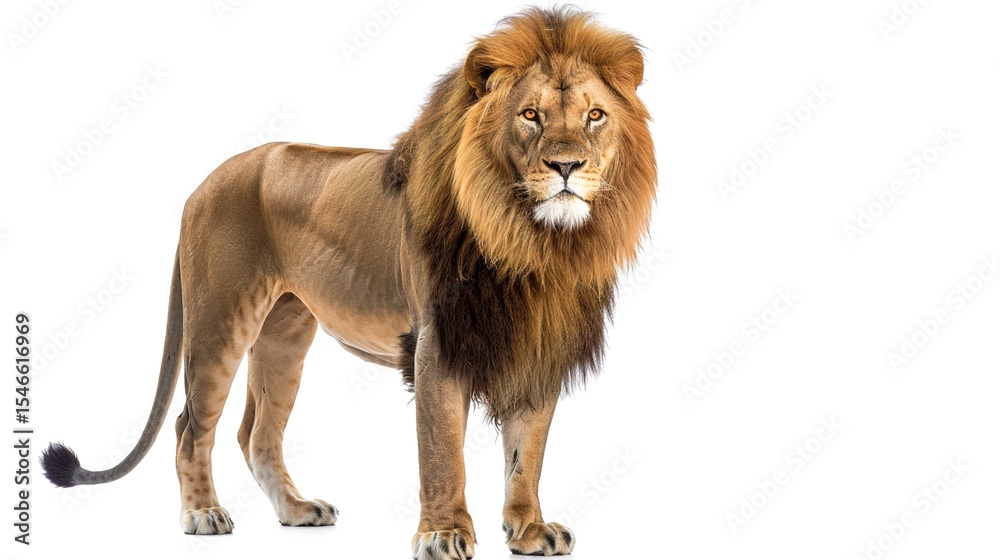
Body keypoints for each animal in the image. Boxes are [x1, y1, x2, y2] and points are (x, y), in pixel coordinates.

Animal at [41, 7, 656, 558]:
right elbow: (442, 453)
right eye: (530, 115)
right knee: (191, 425)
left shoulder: (537, 343)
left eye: (594, 116)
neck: (530, 241)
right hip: (220, 319)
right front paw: (443, 535)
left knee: (256, 433)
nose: (567, 166)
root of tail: (204, 183)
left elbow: (527, 453)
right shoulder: (436, 345)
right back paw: (203, 514)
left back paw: (296, 510)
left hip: (285, 333)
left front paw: (530, 531)